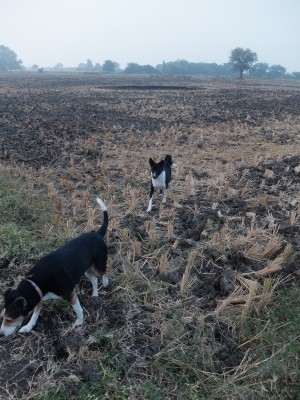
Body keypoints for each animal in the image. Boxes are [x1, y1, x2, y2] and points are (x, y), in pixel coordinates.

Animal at [0, 195, 109, 336]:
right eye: (2, 317)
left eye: (10, 319)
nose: (1, 334)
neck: (36, 281)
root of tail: (97, 233)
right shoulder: (39, 297)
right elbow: (34, 315)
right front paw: (28, 327)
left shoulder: (70, 295)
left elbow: (78, 309)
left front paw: (79, 322)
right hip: (87, 270)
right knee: (94, 280)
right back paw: (95, 295)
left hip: (99, 266)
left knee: (105, 271)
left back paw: (105, 282)